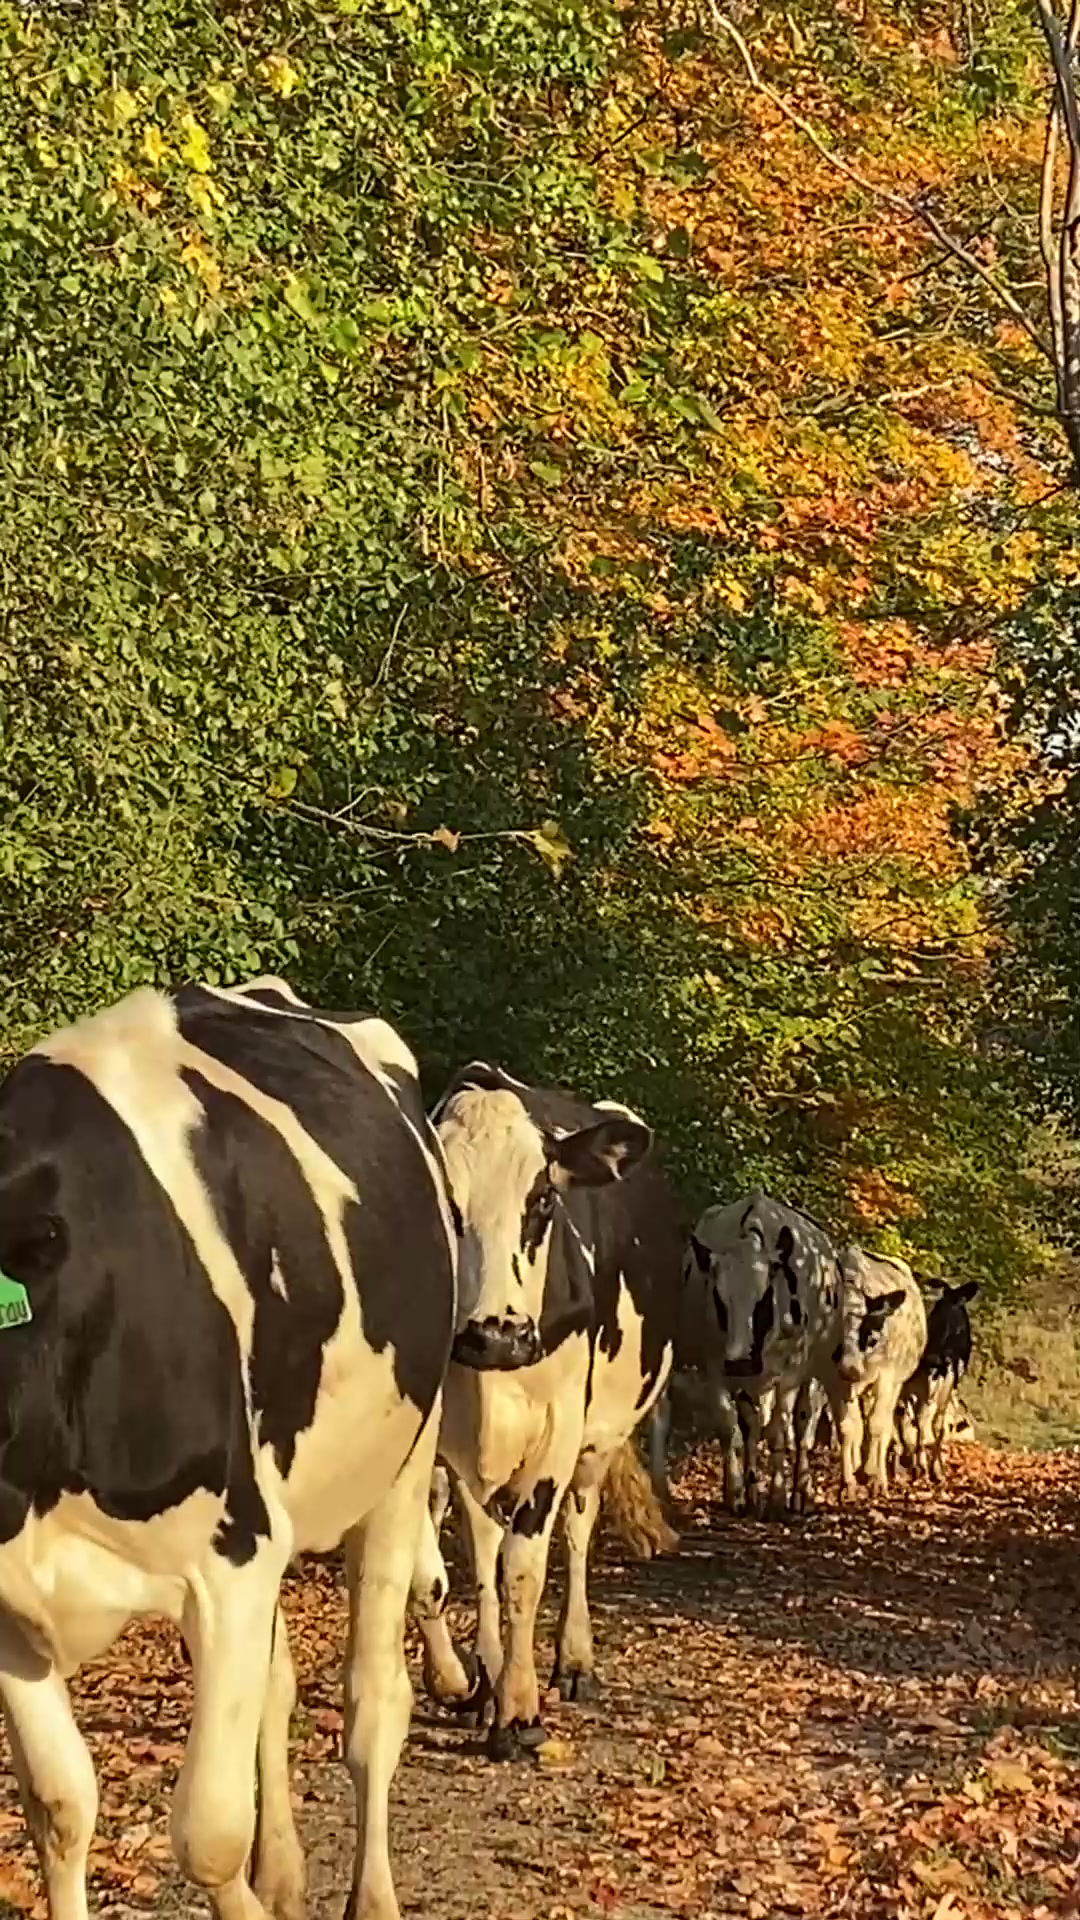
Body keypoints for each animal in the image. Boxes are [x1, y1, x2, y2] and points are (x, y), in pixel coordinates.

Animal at [0, 978, 458, 1920]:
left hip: (401, 1466)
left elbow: (208, 1834)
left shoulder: (231, 1558)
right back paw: (282, 1872)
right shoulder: (6, 1602)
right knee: (277, 1696)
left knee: (372, 1705)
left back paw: (372, 1894)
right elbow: (58, 1807)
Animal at [412, 1063, 681, 1759]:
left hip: (597, 1440)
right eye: (447, 1203)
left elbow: (523, 1570)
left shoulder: (557, 1437)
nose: (497, 1334)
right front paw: (469, 1681)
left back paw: (574, 1660)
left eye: (542, 1201)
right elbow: (453, 1569)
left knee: (578, 1531)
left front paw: (518, 1709)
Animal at [682, 1191, 841, 1514]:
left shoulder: (791, 1369)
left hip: (812, 1369)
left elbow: (780, 1428)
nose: (741, 1361)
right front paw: (737, 1492)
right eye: (718, 1298)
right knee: (753, 1424)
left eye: (764, 1298)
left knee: (803, 1424)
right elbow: (730, 1425)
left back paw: (798, 1493)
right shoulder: (713, 1364)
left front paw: (778, 1495)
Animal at [832, 1248, 927, 1497]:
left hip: (896, 1383)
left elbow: (876, 1425)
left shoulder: (886, 1376)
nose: (850, 1368)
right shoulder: (835, 1378)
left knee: (883, 1426)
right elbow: (847, 1428)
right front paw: (847, 1482)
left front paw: (873, 1476)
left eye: (869, 1325)